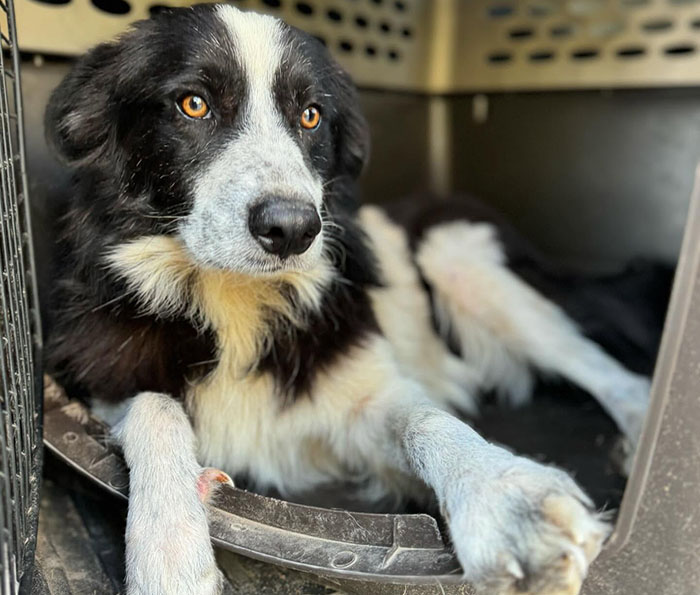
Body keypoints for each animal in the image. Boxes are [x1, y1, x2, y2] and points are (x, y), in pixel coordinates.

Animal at [45, 5, 652, 595]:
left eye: (312, 116)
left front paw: (506, 496)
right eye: (193, 104)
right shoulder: (101, 384)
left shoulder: (363, 397)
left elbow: (425, 419)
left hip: (457, 254)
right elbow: (156, 406)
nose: (293, 229)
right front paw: (169, 549)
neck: (235, 298)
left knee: (613, 373)